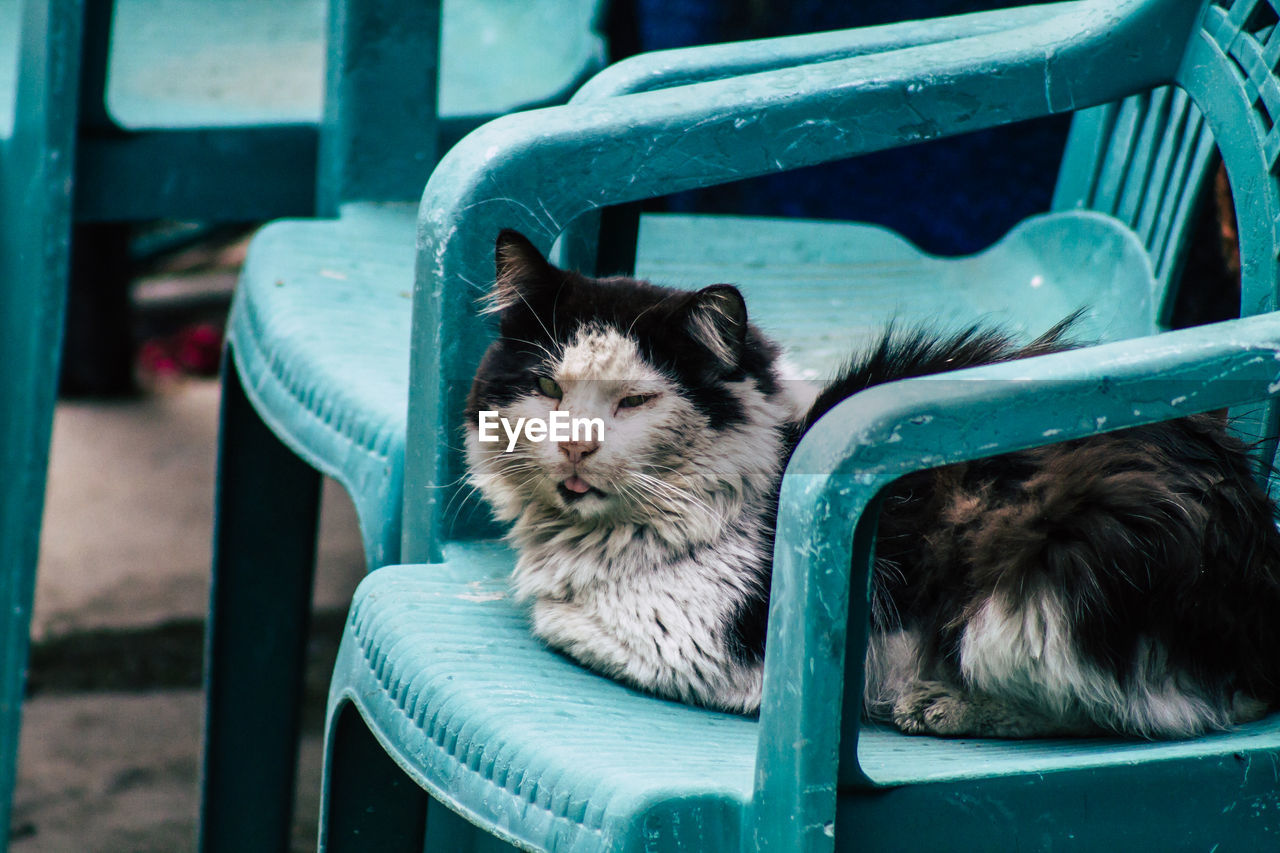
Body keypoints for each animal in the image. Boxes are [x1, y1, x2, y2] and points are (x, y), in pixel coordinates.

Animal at [465, 227, 1280, 737]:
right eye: (547, 387)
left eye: (634, 402)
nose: (573, 447)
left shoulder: (696, 648)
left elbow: (555, 618)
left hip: (1040, 580)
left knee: (1153, 713)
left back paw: (939, 705)